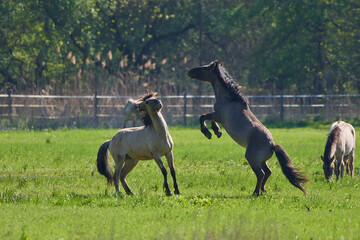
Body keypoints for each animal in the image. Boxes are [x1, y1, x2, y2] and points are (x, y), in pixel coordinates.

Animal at [187, 60, 308, 195]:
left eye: (204, 68)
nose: (189, 71)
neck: (229, 99)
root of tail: (272, 144)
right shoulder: (217, 116)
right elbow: (208, 119)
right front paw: (217, 131)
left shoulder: (218, 115)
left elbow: (203, 117)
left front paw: (208, 133)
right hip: (262, 161)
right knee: (268, 172)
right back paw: (263, 190)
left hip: (252, 159)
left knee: (261, 174)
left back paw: (256, 192)